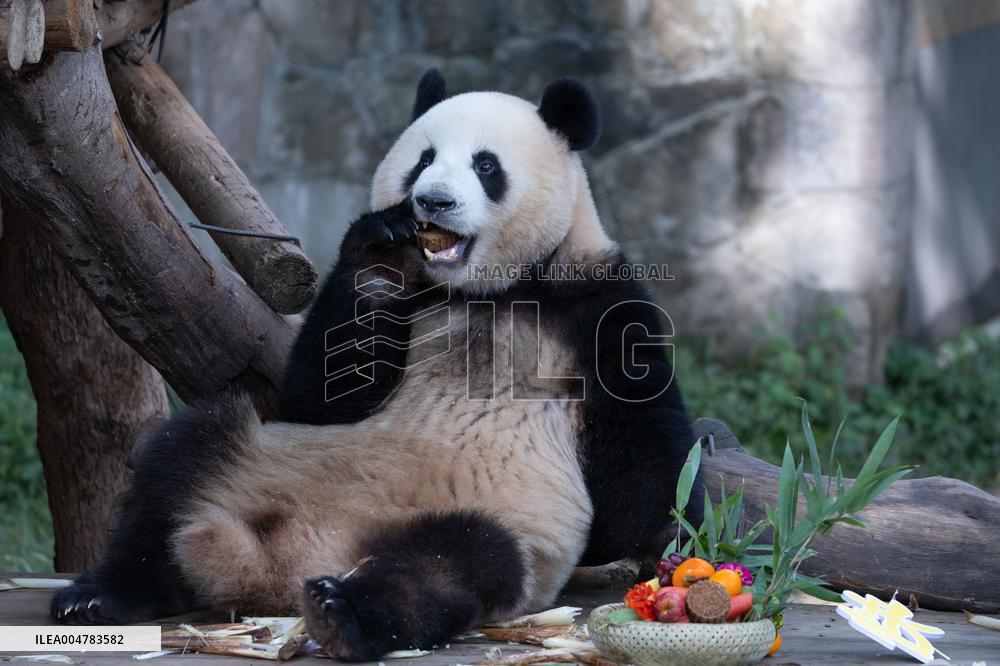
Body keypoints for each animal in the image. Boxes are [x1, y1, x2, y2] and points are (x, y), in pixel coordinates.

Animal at [51, 70, 703, 661]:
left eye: (485, 166)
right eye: (424, 160)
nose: (432, 201)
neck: (483, 291)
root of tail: (292, 561)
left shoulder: (595, 305)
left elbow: (641, 462)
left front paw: (671, 546)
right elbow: (319, 394)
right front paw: (380, 250)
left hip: (497, 518)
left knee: (455, 564)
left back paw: (344, 612)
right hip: (260, 461)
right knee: (178, 467)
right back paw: (99, 595)